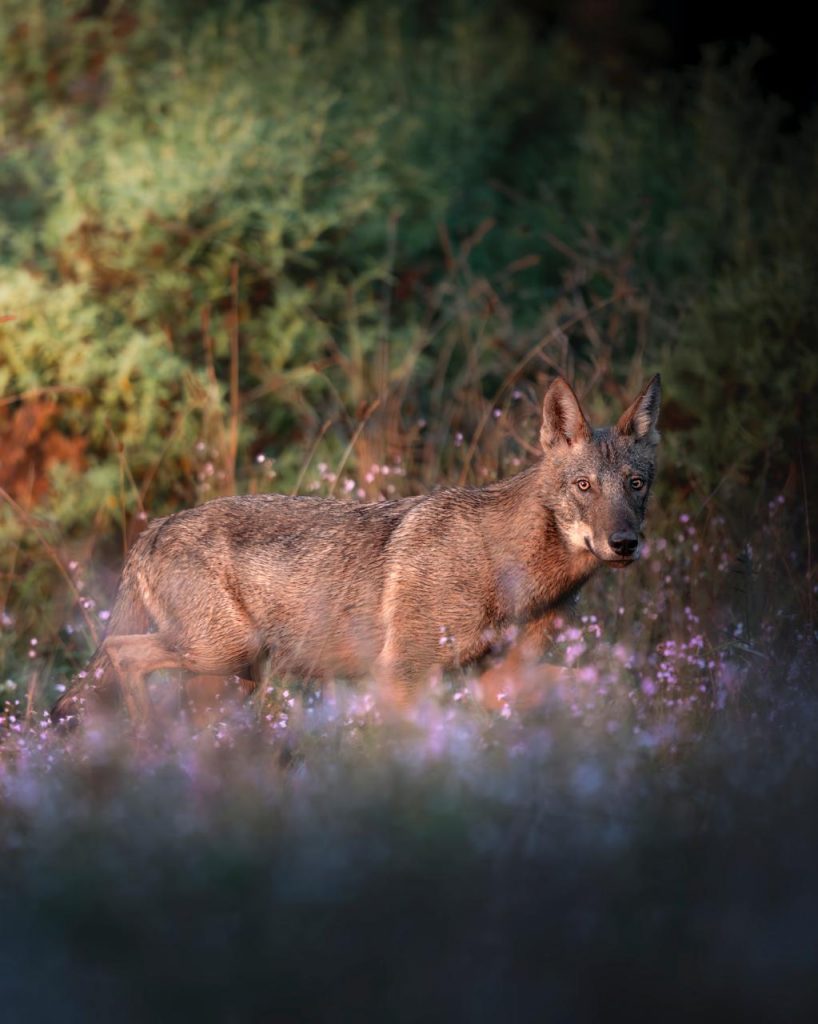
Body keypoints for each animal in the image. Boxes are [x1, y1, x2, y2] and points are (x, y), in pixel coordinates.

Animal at [51, 375, 660, 726]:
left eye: (635, 485)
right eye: (584, 486)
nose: (624, 543)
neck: (513, 572)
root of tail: (153, 528)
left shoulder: (498, 678)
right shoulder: (404, 676)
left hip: (233, 676)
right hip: (221, 654)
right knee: (121, 654)